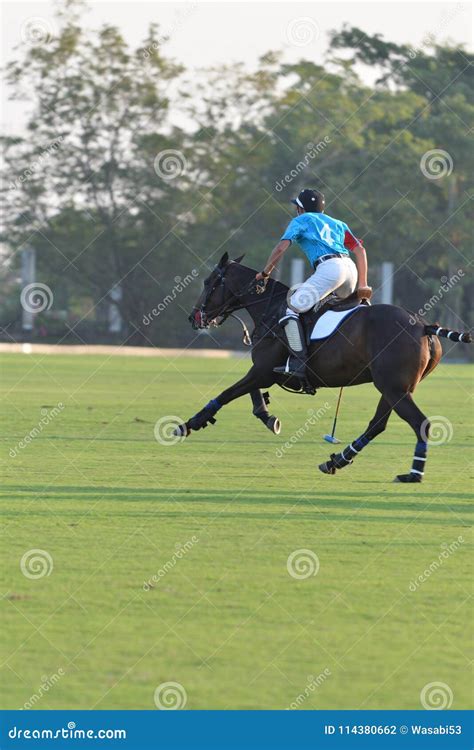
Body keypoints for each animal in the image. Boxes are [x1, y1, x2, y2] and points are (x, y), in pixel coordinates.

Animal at [177, 256, 470, 484]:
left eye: (208, 282)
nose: (194, 317)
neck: (270, 310)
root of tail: (424, 326)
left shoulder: (263, 370)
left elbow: (227, 393)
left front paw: (189, 424)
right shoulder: (264, 371)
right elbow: (250, 393)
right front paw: (269, 417)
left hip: (392, 386)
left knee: (419, 423)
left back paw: (412, 474)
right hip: (396, 387)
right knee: (378, 424)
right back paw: (336, 461)